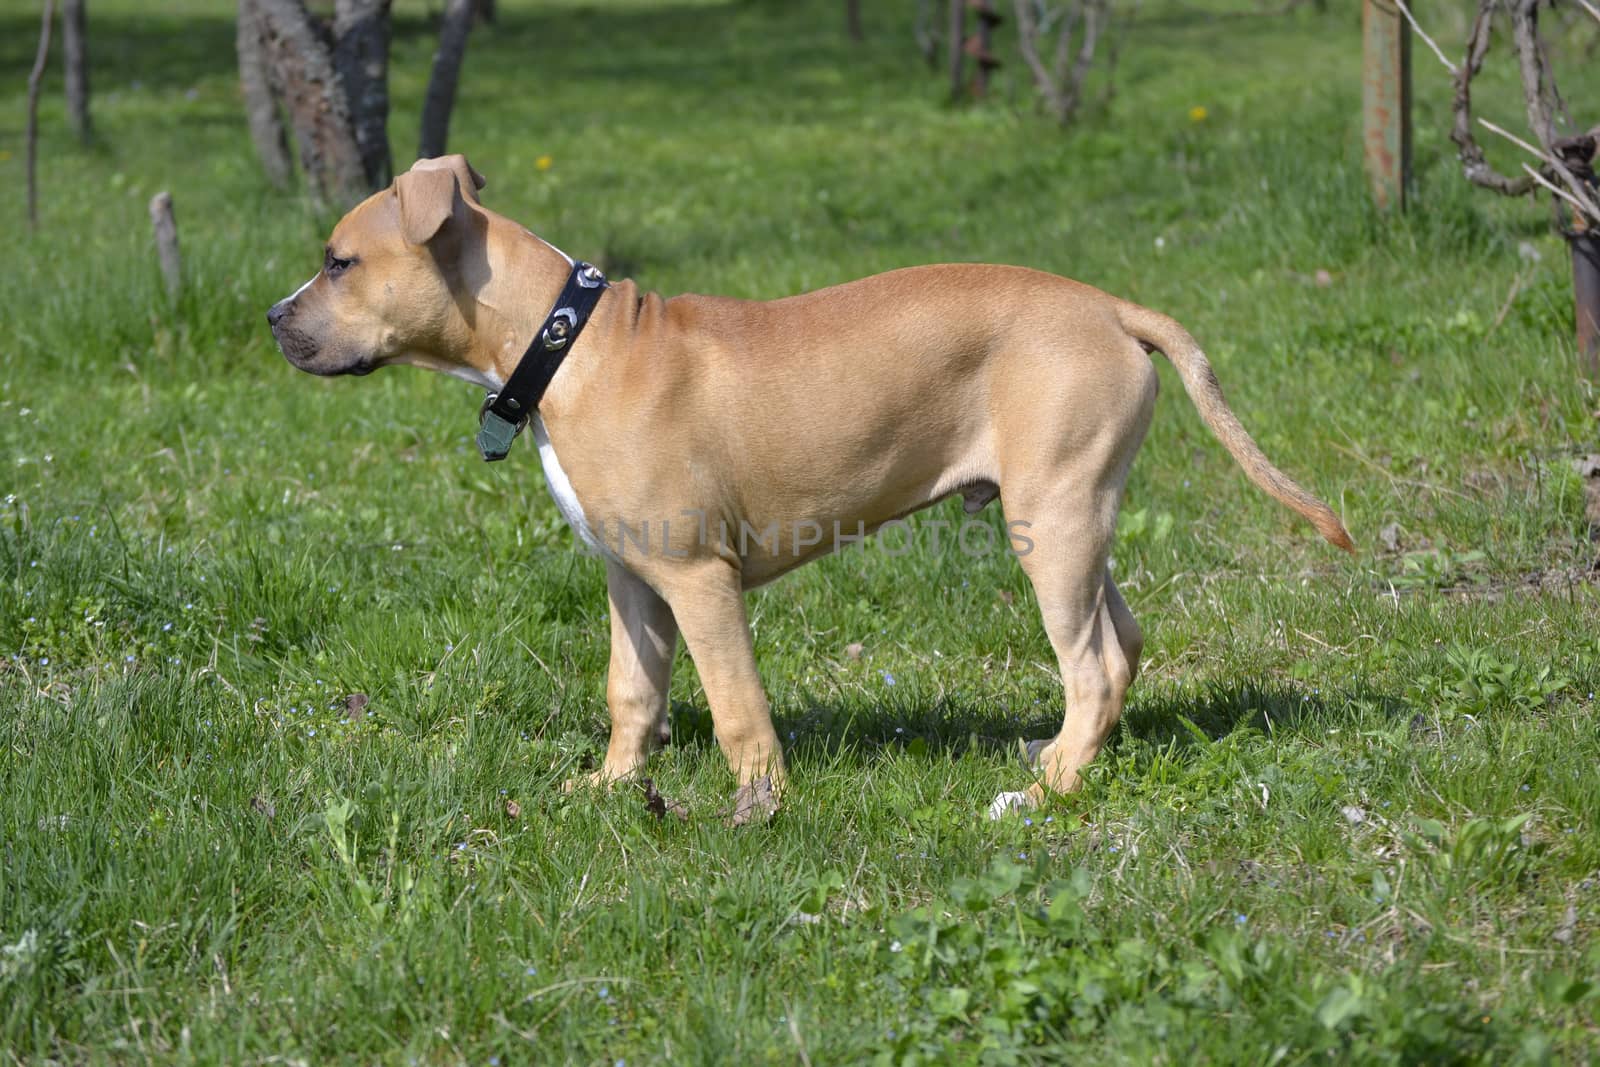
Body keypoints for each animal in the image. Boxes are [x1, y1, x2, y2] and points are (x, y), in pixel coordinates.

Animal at [268, 156, 1356, 825]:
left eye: (339, 261)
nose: (274, 319)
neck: (561, 339)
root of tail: (1110, 308)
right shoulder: (631, 578)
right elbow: (632, 690)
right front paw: (613, 787)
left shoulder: (697, 577)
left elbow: (735, 703)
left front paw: (758, 809)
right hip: (1073, 514)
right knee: (1120, 644)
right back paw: (1063, 766)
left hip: (1050, 521)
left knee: (1087, 664)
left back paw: (1043, 794)